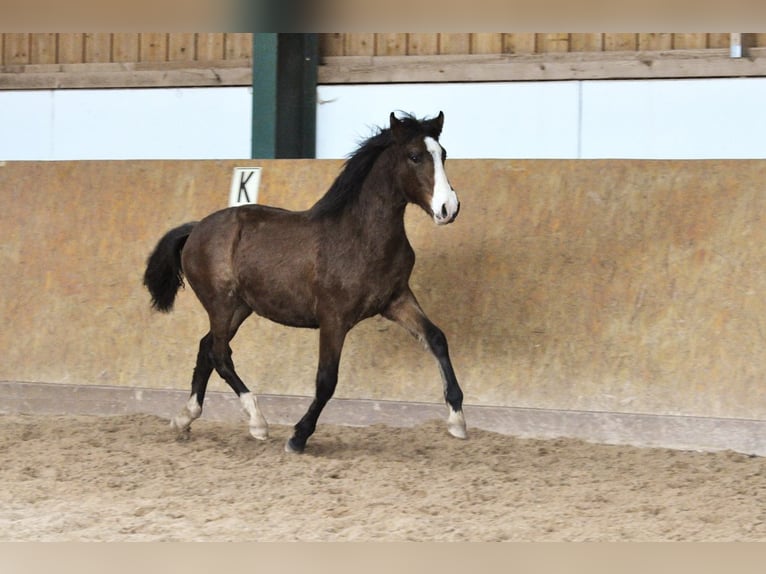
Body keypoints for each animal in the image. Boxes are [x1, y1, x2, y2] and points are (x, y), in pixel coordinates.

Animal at [143, 112, 468, 454]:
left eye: (443, 154)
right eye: (415, 156)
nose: (448, 208)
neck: (361, 237)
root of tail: (196, 229)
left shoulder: (396, 300)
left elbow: (436, 339)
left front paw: (457, 421)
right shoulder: (334, 318)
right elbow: (326, 380)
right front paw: (298, 437)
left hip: (240, 308)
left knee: (207, 347)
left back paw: (184, 419)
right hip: (221, 303)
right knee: (220, 354)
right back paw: (257, 422)